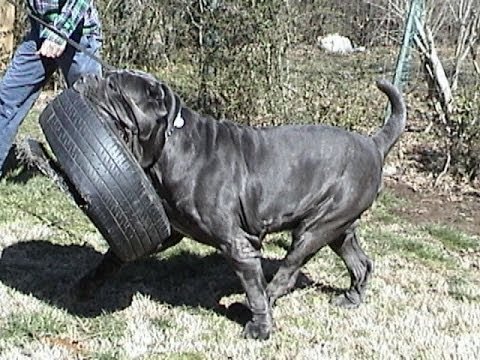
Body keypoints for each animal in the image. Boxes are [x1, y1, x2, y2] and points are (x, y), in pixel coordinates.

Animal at [73, 70, 406, 340]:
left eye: (113, 86)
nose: (85, 78)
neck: (169, 146)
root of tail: (373, 144)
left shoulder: (238, 243)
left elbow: (254, 288)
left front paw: (261, 329)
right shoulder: (165, 230)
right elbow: (115, 256)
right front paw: (88, 284)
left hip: (315, 229)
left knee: (284, 276)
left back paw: (256, 304)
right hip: (339, 228)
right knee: (361, 263)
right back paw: (351, 299)